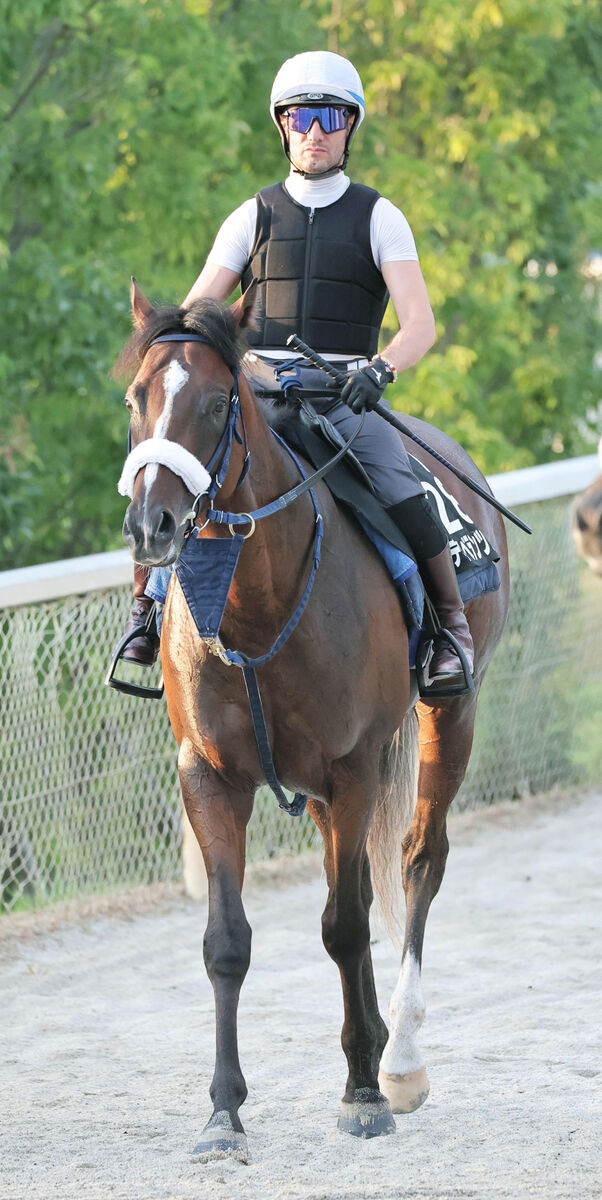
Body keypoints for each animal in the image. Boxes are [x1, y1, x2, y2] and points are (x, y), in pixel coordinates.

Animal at [116, 278, 508, 1161]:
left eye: (218, 402)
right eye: (136, 399)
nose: (152, 524)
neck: (253, 606)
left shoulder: (353, 766)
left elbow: (347, 924)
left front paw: (363, 1091)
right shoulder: (210, 777)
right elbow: (228, 942)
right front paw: (224, 1114)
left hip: (449, 717)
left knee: (417, 862)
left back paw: (398, 1060)